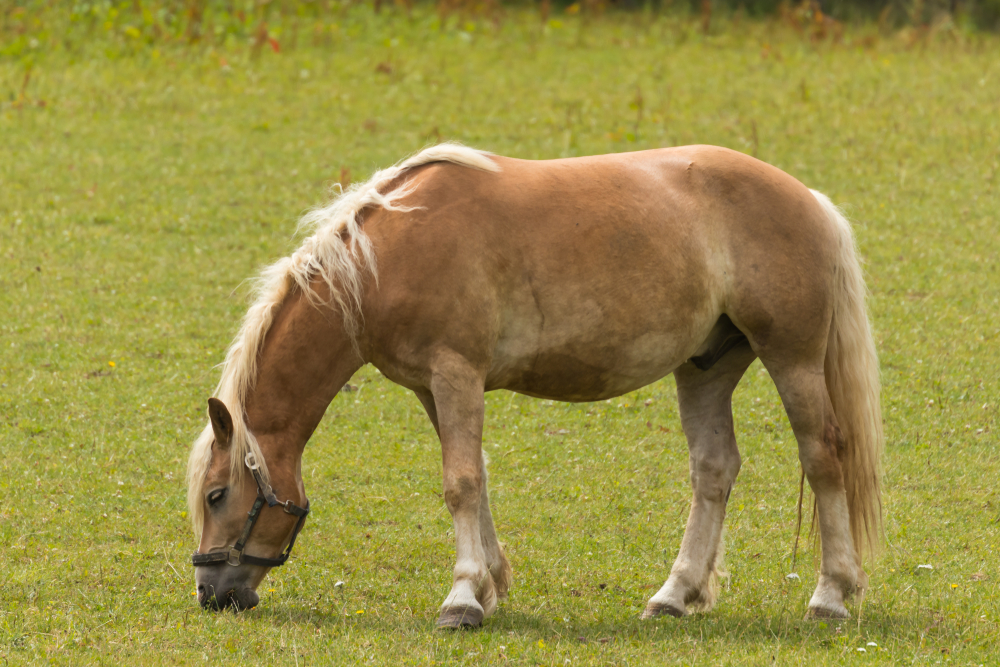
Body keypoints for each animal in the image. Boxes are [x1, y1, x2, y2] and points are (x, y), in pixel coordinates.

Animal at [188, 144, 884, 628]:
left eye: (218, 495)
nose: (211, 594)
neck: (385, 257)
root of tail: (811, 198)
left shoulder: (455, 373)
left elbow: (460, 483)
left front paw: (462, 599)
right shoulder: (434, 388)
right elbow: (476, 478)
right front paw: (488, 585)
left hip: (792, 359)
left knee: (823, 458)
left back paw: (830, 596)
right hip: (705, 368)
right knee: (714, 471)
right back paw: (674, 595)